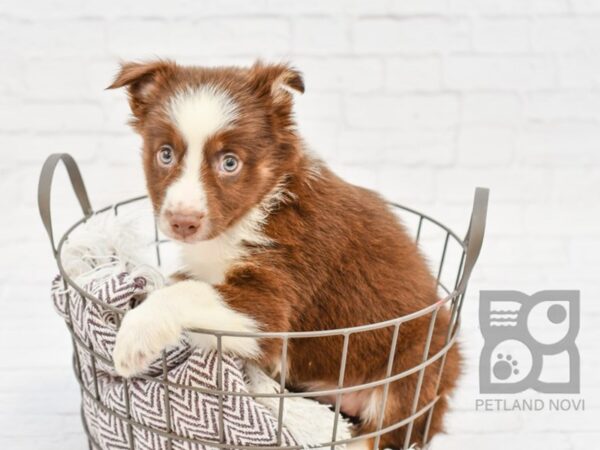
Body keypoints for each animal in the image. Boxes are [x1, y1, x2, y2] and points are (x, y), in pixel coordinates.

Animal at [108, 60, 462, 450]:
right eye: (165, 154)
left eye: (229, 163)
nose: (182, 222)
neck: (250, 216)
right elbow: (182, 282)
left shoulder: (277, 300)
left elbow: (184, 293)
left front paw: (133, 339)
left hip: (415, 369)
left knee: (380, 433)